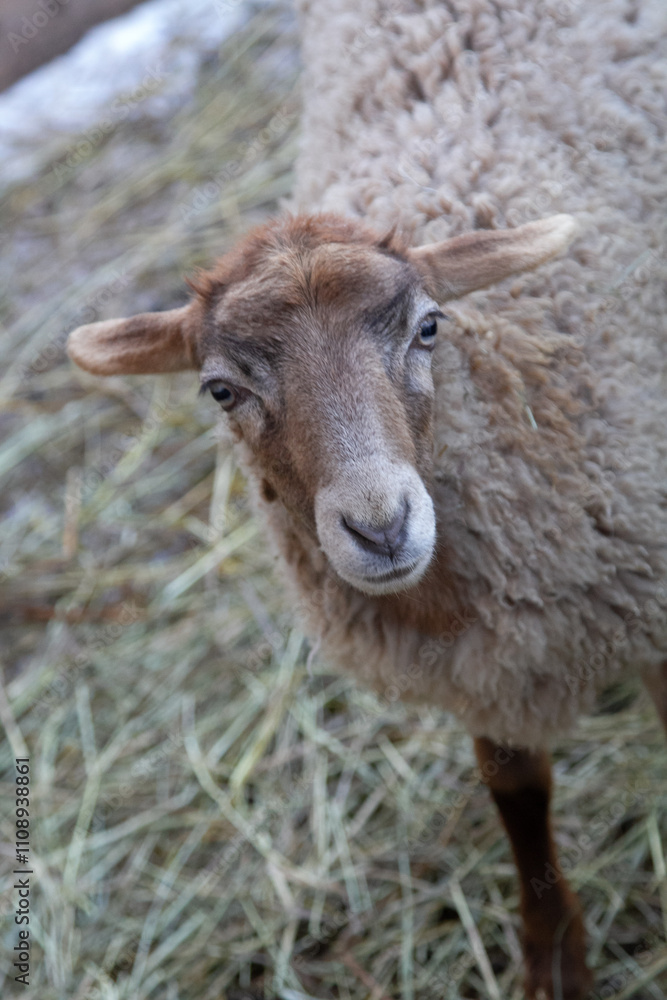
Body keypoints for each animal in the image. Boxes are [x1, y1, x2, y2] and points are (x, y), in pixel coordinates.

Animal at [66, 0, 667, 997]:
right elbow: (515, 793)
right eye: (220, 389)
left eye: (428, 327)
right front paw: (550, 954)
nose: (382, 526)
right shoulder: (483, 670)